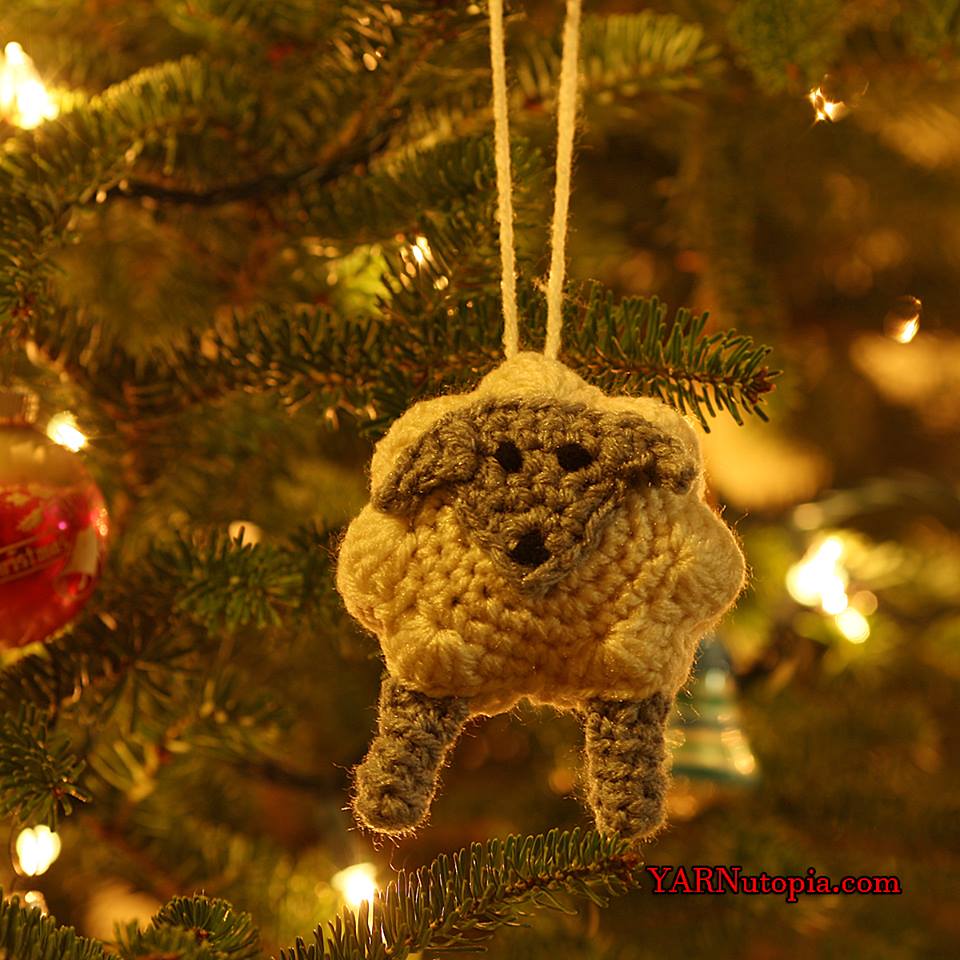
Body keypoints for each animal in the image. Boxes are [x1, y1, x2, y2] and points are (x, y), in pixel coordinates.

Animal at [336, 351, 745, 840]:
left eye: (576, 458)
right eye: (501, 458)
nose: (530, 549)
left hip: (632, 668)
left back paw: (629, 810)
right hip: (432, 665)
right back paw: (386, 801)